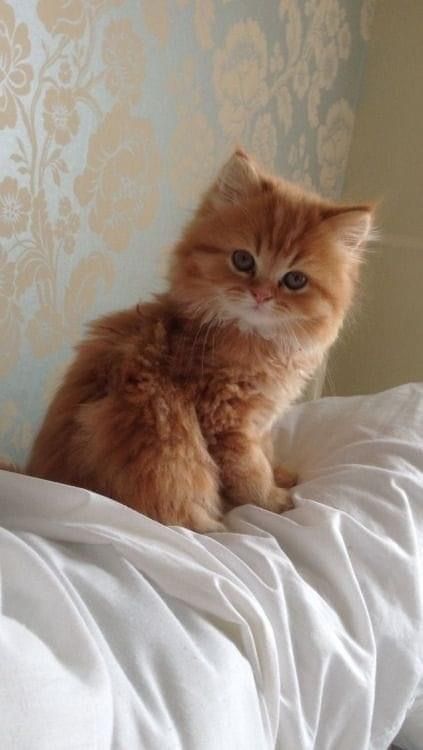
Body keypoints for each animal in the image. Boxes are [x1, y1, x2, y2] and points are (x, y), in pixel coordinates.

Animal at [26, 150, 372, 532]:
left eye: (295, 280)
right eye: (243, 260)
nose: (261, 295)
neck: (255, 341)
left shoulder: (261, 422)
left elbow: (266, 454)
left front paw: (280, 476)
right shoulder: (226, 422)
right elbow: (250, 471)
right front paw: (273, 501)